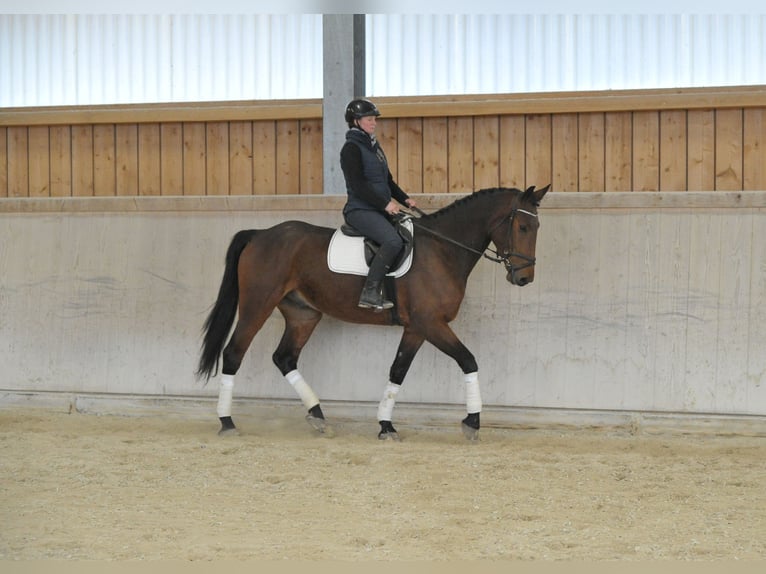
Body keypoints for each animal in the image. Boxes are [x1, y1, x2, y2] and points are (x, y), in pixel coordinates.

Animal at [196, 184, 550, 440]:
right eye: (522, 226)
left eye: (537, 226)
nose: (524, 278)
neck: (442, 250)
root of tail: (259, 234)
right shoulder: (431, 323)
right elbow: (468, 360)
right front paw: (473, 422)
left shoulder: (416, 328)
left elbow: (397, 371)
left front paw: (386, 425)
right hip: (257, 305)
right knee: (234, 353)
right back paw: (227, 422)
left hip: (303, 314)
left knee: (284, 357)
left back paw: (318, 417)